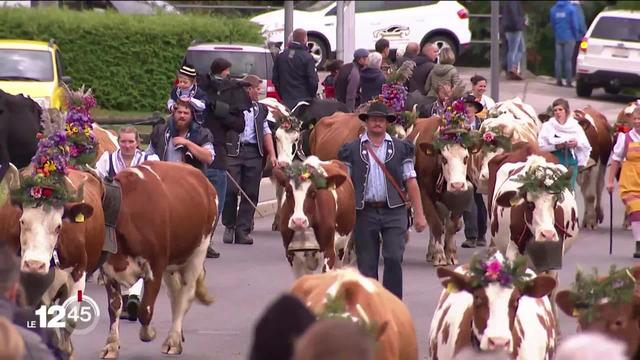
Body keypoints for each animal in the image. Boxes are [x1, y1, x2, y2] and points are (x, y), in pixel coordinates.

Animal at [100, 162, 218, 358]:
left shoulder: (155, 265)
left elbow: (145, 309)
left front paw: (149, 333)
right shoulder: (108, 270)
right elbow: (114, 307)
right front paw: (111, 345)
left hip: (198, 251)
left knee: (185, 294)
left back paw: (173, 341)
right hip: (171, 264)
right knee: (175, 294)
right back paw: (177, 335)